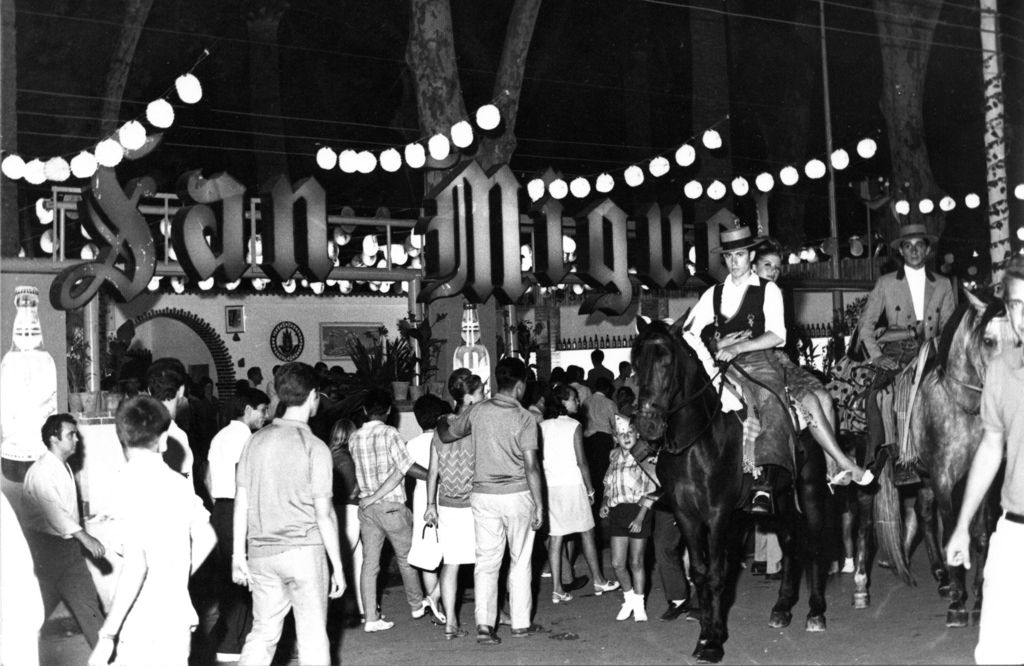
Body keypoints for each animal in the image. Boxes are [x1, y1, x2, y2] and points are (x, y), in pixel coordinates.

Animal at [630, 315, 831, 659]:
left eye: (666, 361)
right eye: (635, 362)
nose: (648, 425)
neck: (697, 441)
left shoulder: (718, 515)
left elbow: (716, 574)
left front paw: (712, 642)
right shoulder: (686, 515)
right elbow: (700, 573)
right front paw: (707, 632)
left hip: (811, 489)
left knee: (815, 544)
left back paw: (815, 612)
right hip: (781, 498)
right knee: (791, 542)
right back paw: (782, 608)